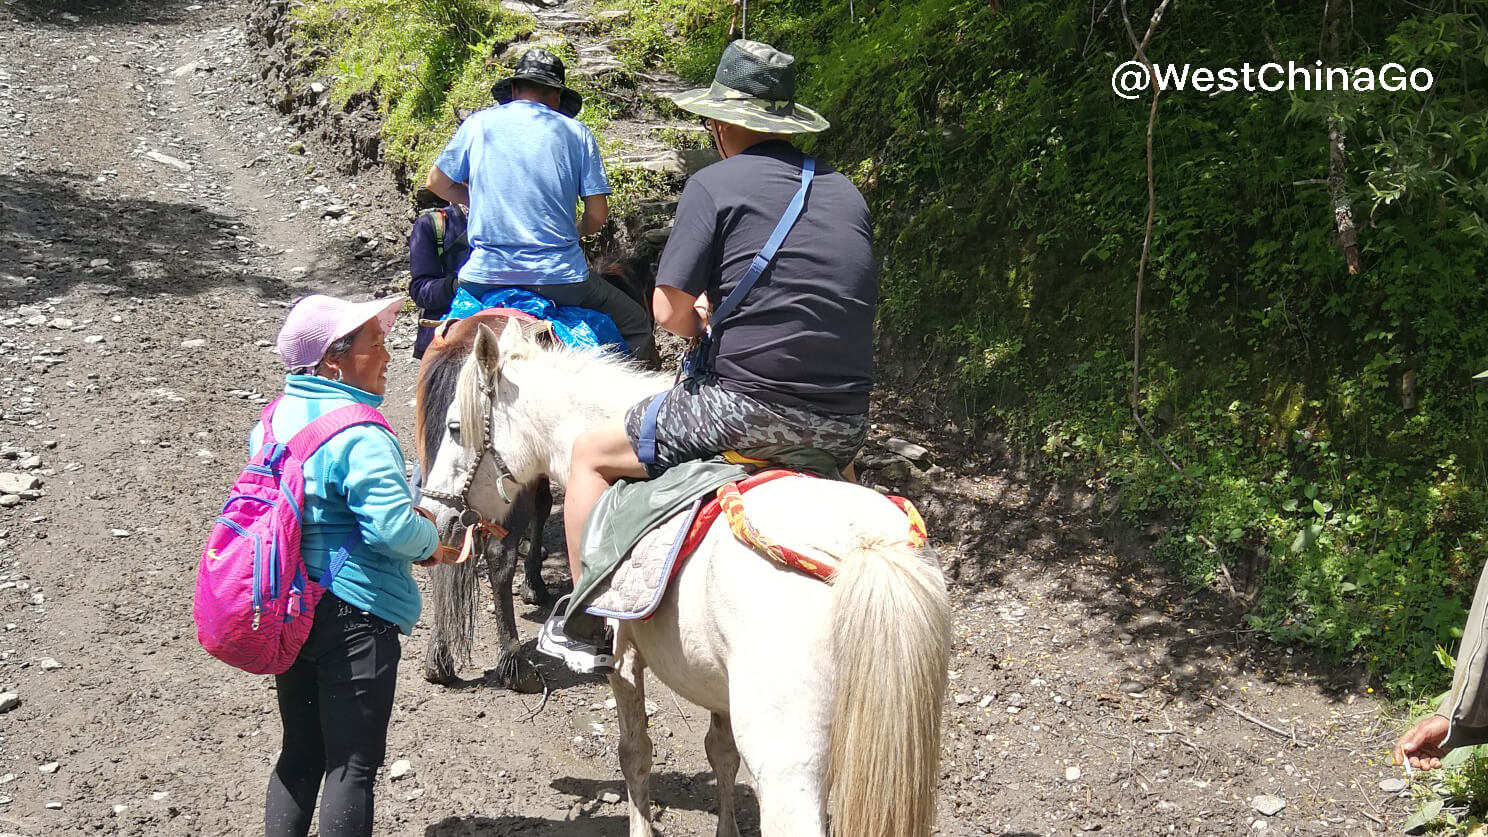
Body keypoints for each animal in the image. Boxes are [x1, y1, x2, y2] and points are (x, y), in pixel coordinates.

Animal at [416, 314, 952, 834]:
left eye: (456, 428)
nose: (432, 512)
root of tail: (866, 549)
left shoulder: (624, 658)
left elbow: (635, 753)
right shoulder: (720, 687)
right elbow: (720, 755)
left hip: (788, 763)